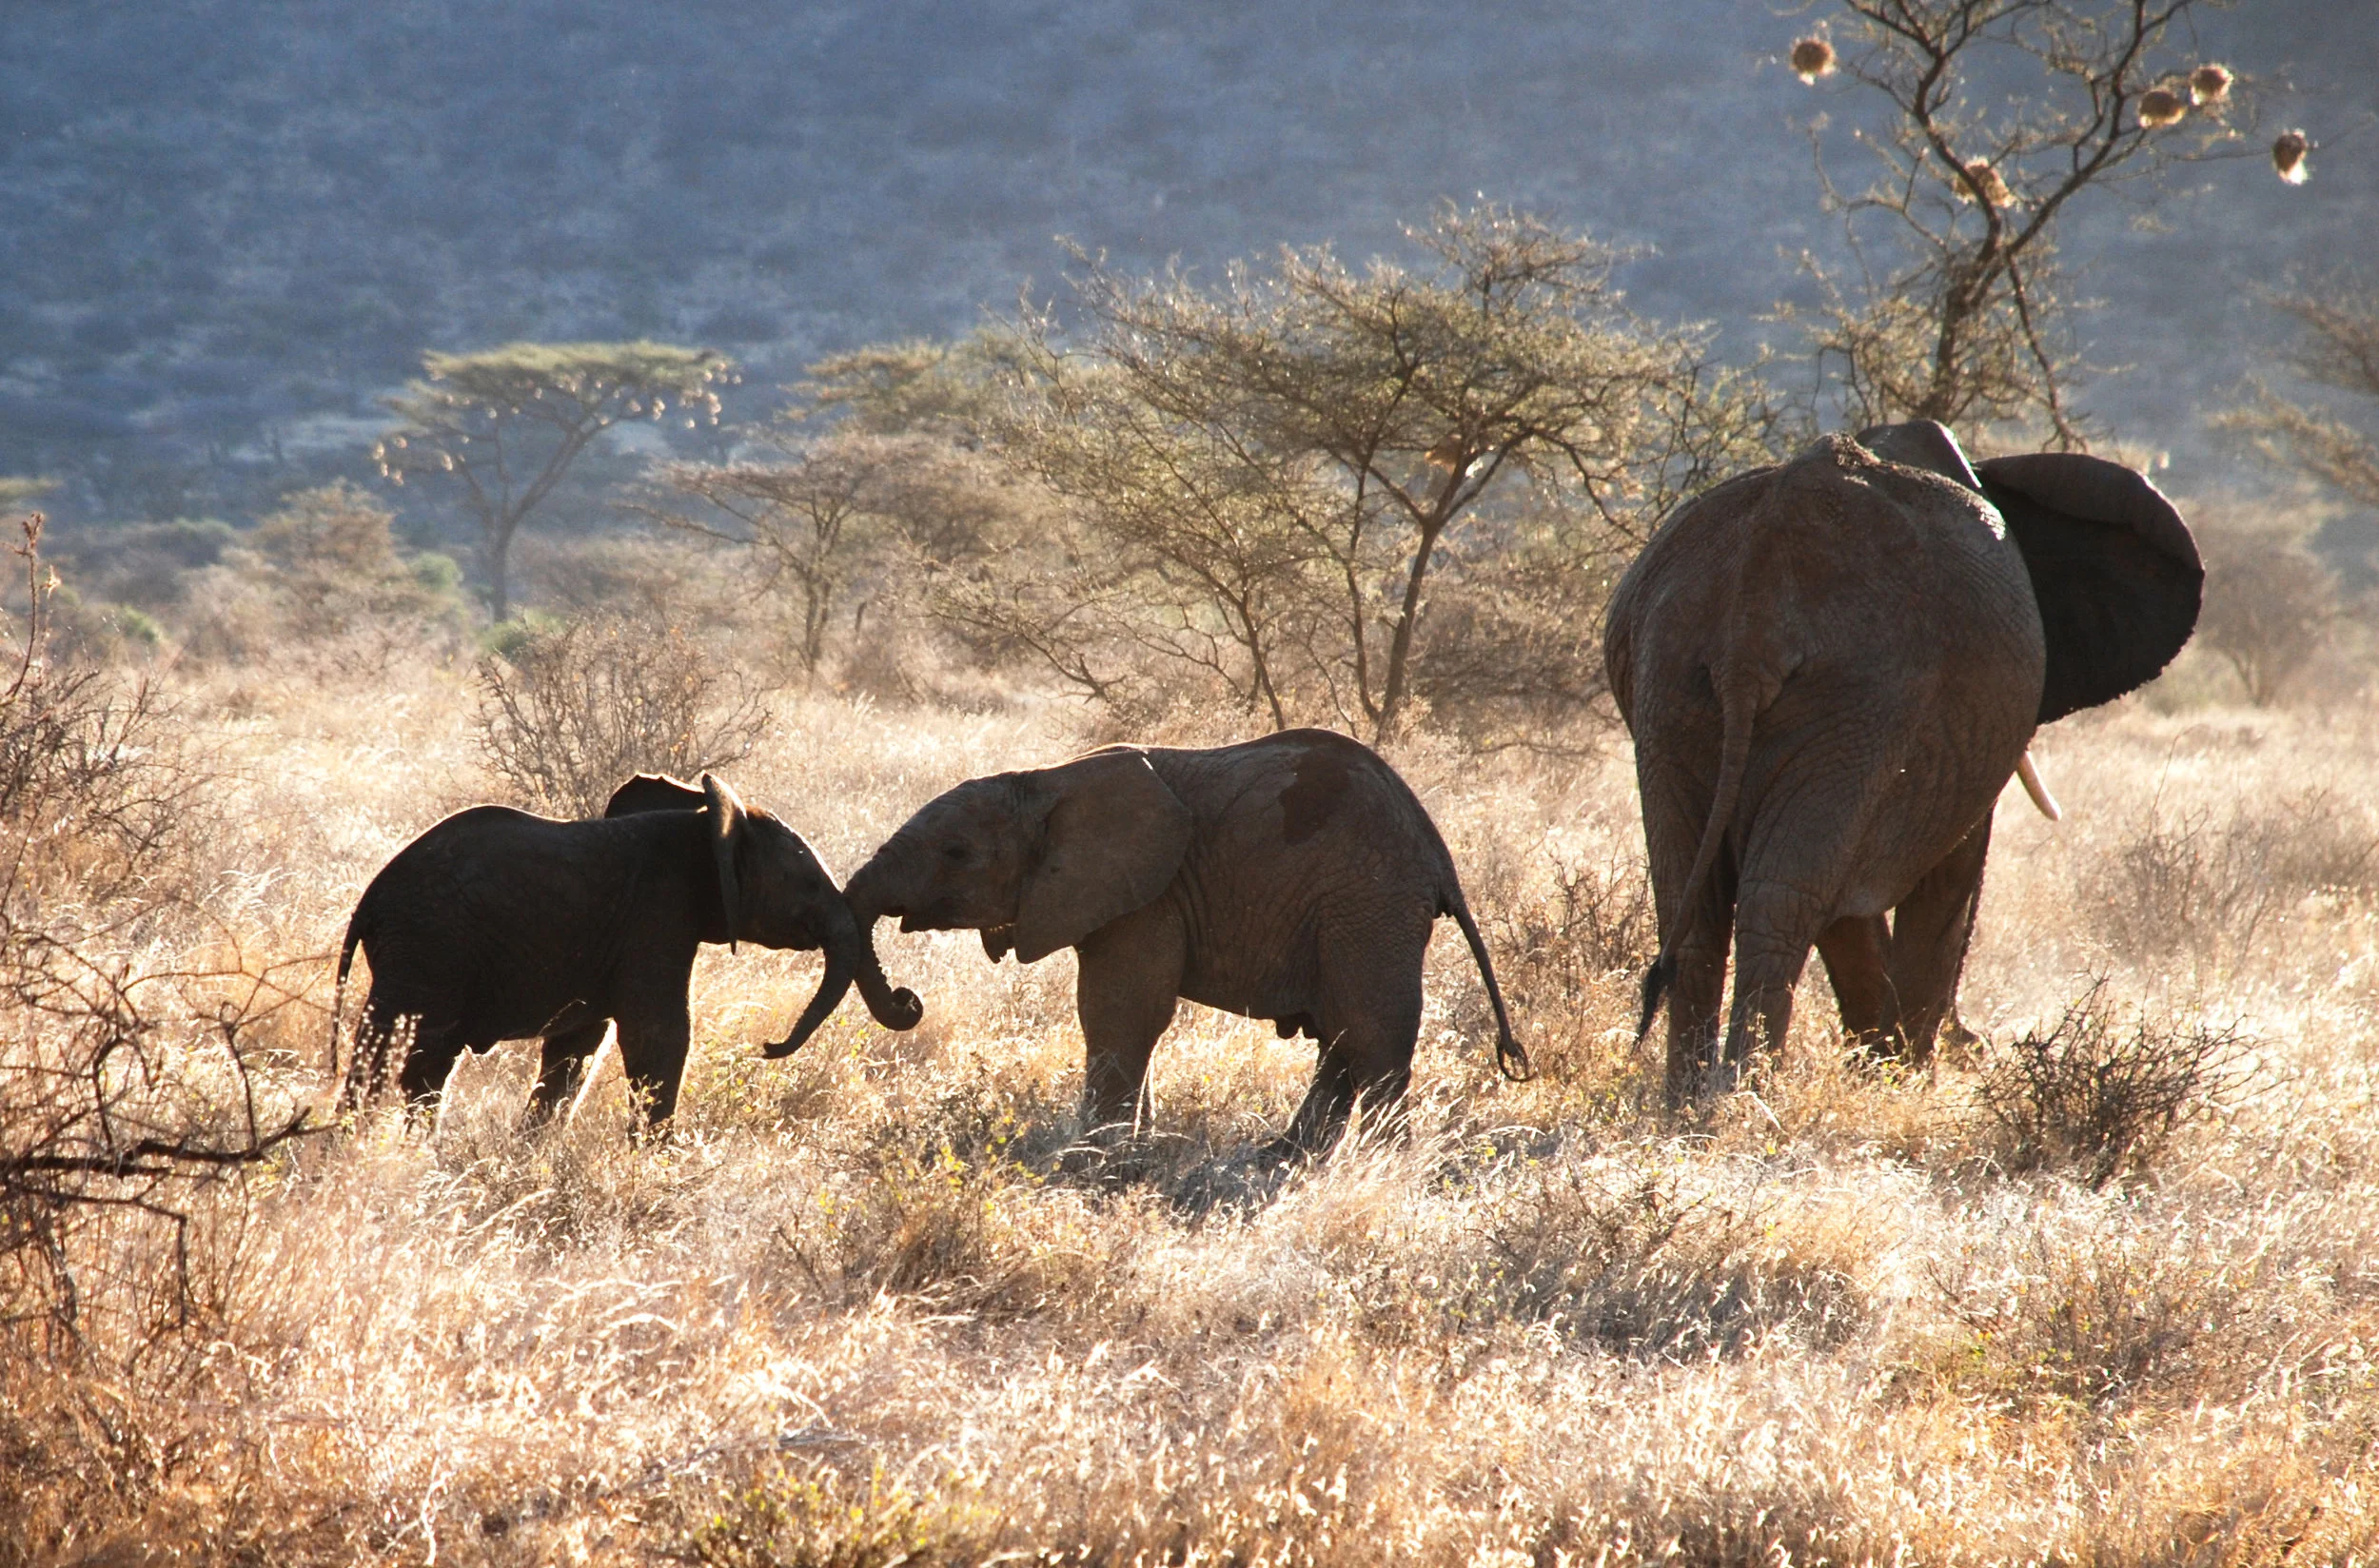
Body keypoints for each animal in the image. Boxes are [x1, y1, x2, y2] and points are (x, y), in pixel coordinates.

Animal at [332, 772, 921, 1130]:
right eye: (809, 885)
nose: (908, 1000)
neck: (702, 823)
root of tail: (370, 901)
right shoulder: (656, 919)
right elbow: (659, 1036)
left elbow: (577, 1049)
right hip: (427, 948)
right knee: (394, 1054)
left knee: (422, 1066)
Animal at [838, 728, 1528, 1153]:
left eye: (956, 853)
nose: (907, 1000)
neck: (1047, 782)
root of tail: (1439, 856)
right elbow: (1128, 1017)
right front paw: (1133, 1150)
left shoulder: (1149, 896)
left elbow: (1119, 1012)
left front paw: (1093, 1161)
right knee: (1342, 1040)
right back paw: (1280, 1159)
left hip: (1368, 906)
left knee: (1372, 1038)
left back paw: (1381, 1169)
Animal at [1602, 420, 2201, 1101]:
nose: (1976, 1045)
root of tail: (1752, 612)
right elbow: (1950, 871)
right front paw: (1904, 1075)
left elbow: (1845, 898)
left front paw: (1880, 1063)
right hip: (1859, 695)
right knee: (1781, 896)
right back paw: (1744, 1097)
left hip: (1672, 682)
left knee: (1700, 900)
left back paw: (1689, 1103)